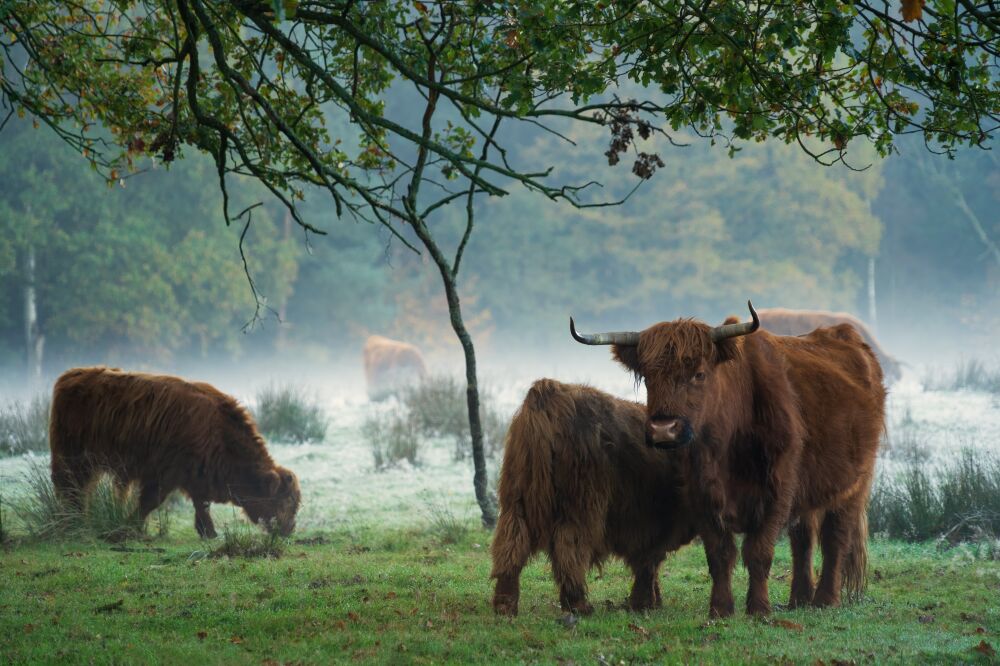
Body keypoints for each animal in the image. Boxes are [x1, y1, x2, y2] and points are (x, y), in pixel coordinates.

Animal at [49, 366, 300, 536]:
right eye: (286, 500)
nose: (288, 529)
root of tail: (71, 375)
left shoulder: (197, 474)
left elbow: (201, 503)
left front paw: (208, 532)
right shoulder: (165, 473)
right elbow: (151, 501)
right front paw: (132, 525)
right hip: (72, 457)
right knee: (71, 488)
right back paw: (74, 521)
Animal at [490, 376, 696, 616]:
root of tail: (548, 392)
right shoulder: (651, 523)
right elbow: (648, 563)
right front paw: (644, 603)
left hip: (516, 498)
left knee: (511, 546)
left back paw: (505, 604)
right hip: (582, 503)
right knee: (569, 548)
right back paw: (579, 604)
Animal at [572, 302, 884, 616]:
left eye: (698, 374)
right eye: (648, 377)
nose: (663, 429)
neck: (724, 447)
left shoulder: (778, 490)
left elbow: (759, 552)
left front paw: (759, 608)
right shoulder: (700, 495)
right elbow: (719, 554)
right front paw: (721, 608)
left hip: (854, 484)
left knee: (835, 538)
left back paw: (825, 599)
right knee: (803, 540)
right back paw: (799, 598)